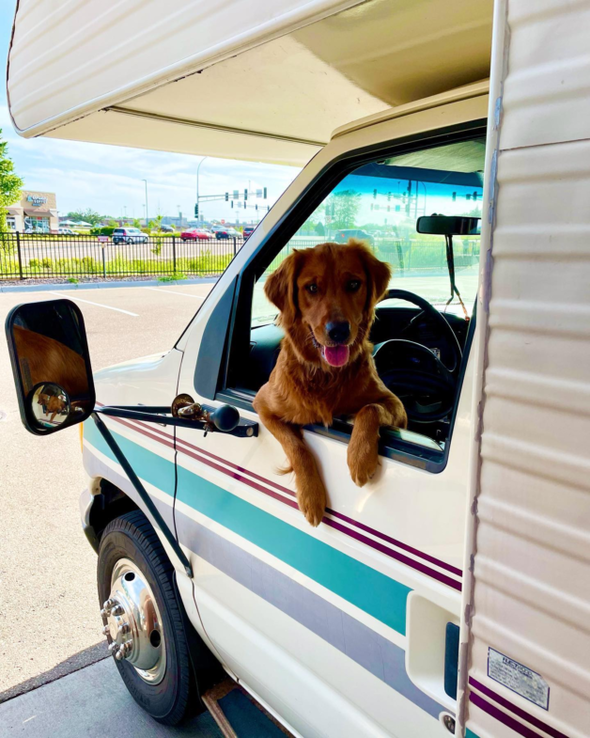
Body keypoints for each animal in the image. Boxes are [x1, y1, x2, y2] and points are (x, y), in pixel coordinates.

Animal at [254, 240, 408, 524]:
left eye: (354, 284)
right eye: (312, 288)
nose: (338, 331)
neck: (325, 374)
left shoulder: (395, 404)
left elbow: (370, 408)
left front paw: (360, 457)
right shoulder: (262, 404)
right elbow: (296, 446)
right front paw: (310, 496)